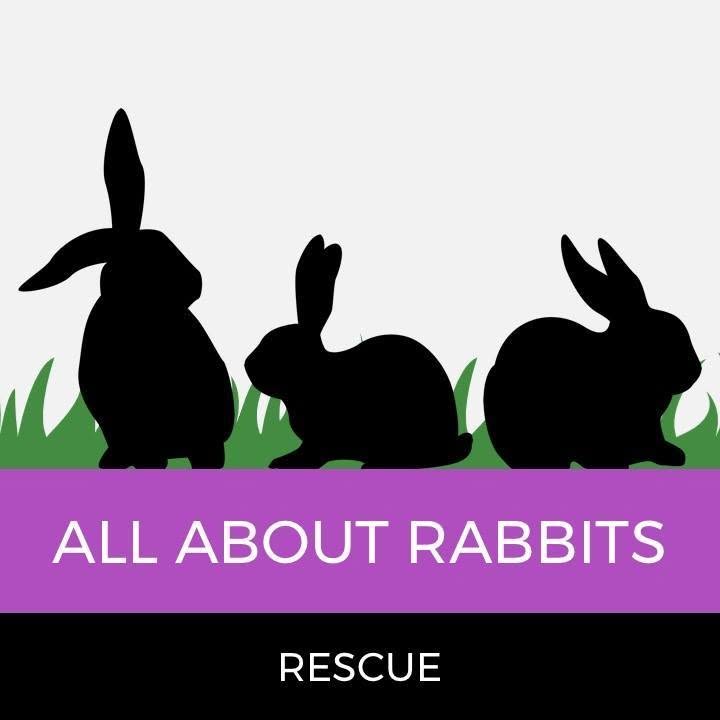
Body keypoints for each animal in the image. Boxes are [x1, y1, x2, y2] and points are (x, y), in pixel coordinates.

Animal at [244, 235, 472, 468]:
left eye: (279, 347)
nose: (247, 364)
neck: (314, 375)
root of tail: (450, 438)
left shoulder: (321, 440)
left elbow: (312, 453)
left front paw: (282, 462)